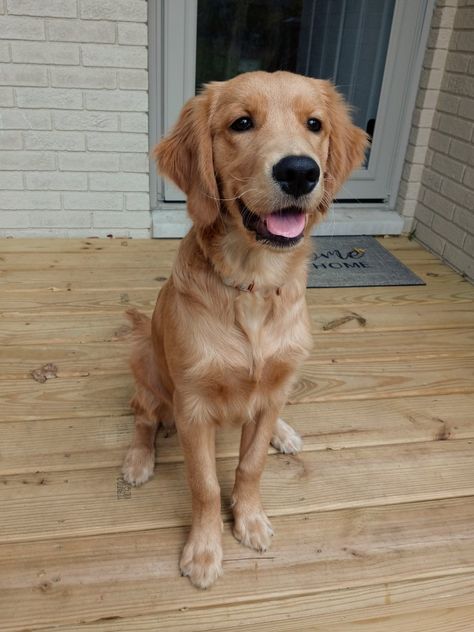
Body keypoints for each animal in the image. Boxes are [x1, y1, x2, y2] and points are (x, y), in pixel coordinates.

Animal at [122, 71, 366, 592]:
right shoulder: (193, 406)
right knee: (143, 416)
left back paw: (284, 433)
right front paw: (204, 550)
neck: (254, 284)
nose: (300, 172)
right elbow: (205, 485)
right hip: (145, 362)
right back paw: (137, 459)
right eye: (241, 123)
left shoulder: (273, 387)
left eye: (314, 124)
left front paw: (250, 519)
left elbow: (250, 465)